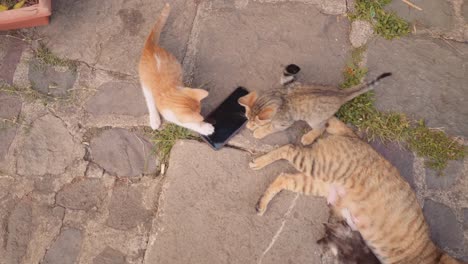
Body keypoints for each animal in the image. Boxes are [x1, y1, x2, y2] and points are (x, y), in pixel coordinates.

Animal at [138, 4, 213, 135]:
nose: (201, 113)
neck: (170, 93)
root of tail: (149, 47)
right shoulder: (172, 115)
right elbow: (188, 123)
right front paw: (204, 127)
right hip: (145, 81)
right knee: (149, 98)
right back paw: (154, 119)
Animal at [250, 118, 462, 264]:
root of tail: (355, 137)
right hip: (317, 164)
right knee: (288, 148)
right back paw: (258, 157)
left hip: (317, 182)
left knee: (283, 176)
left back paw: (261, 203)